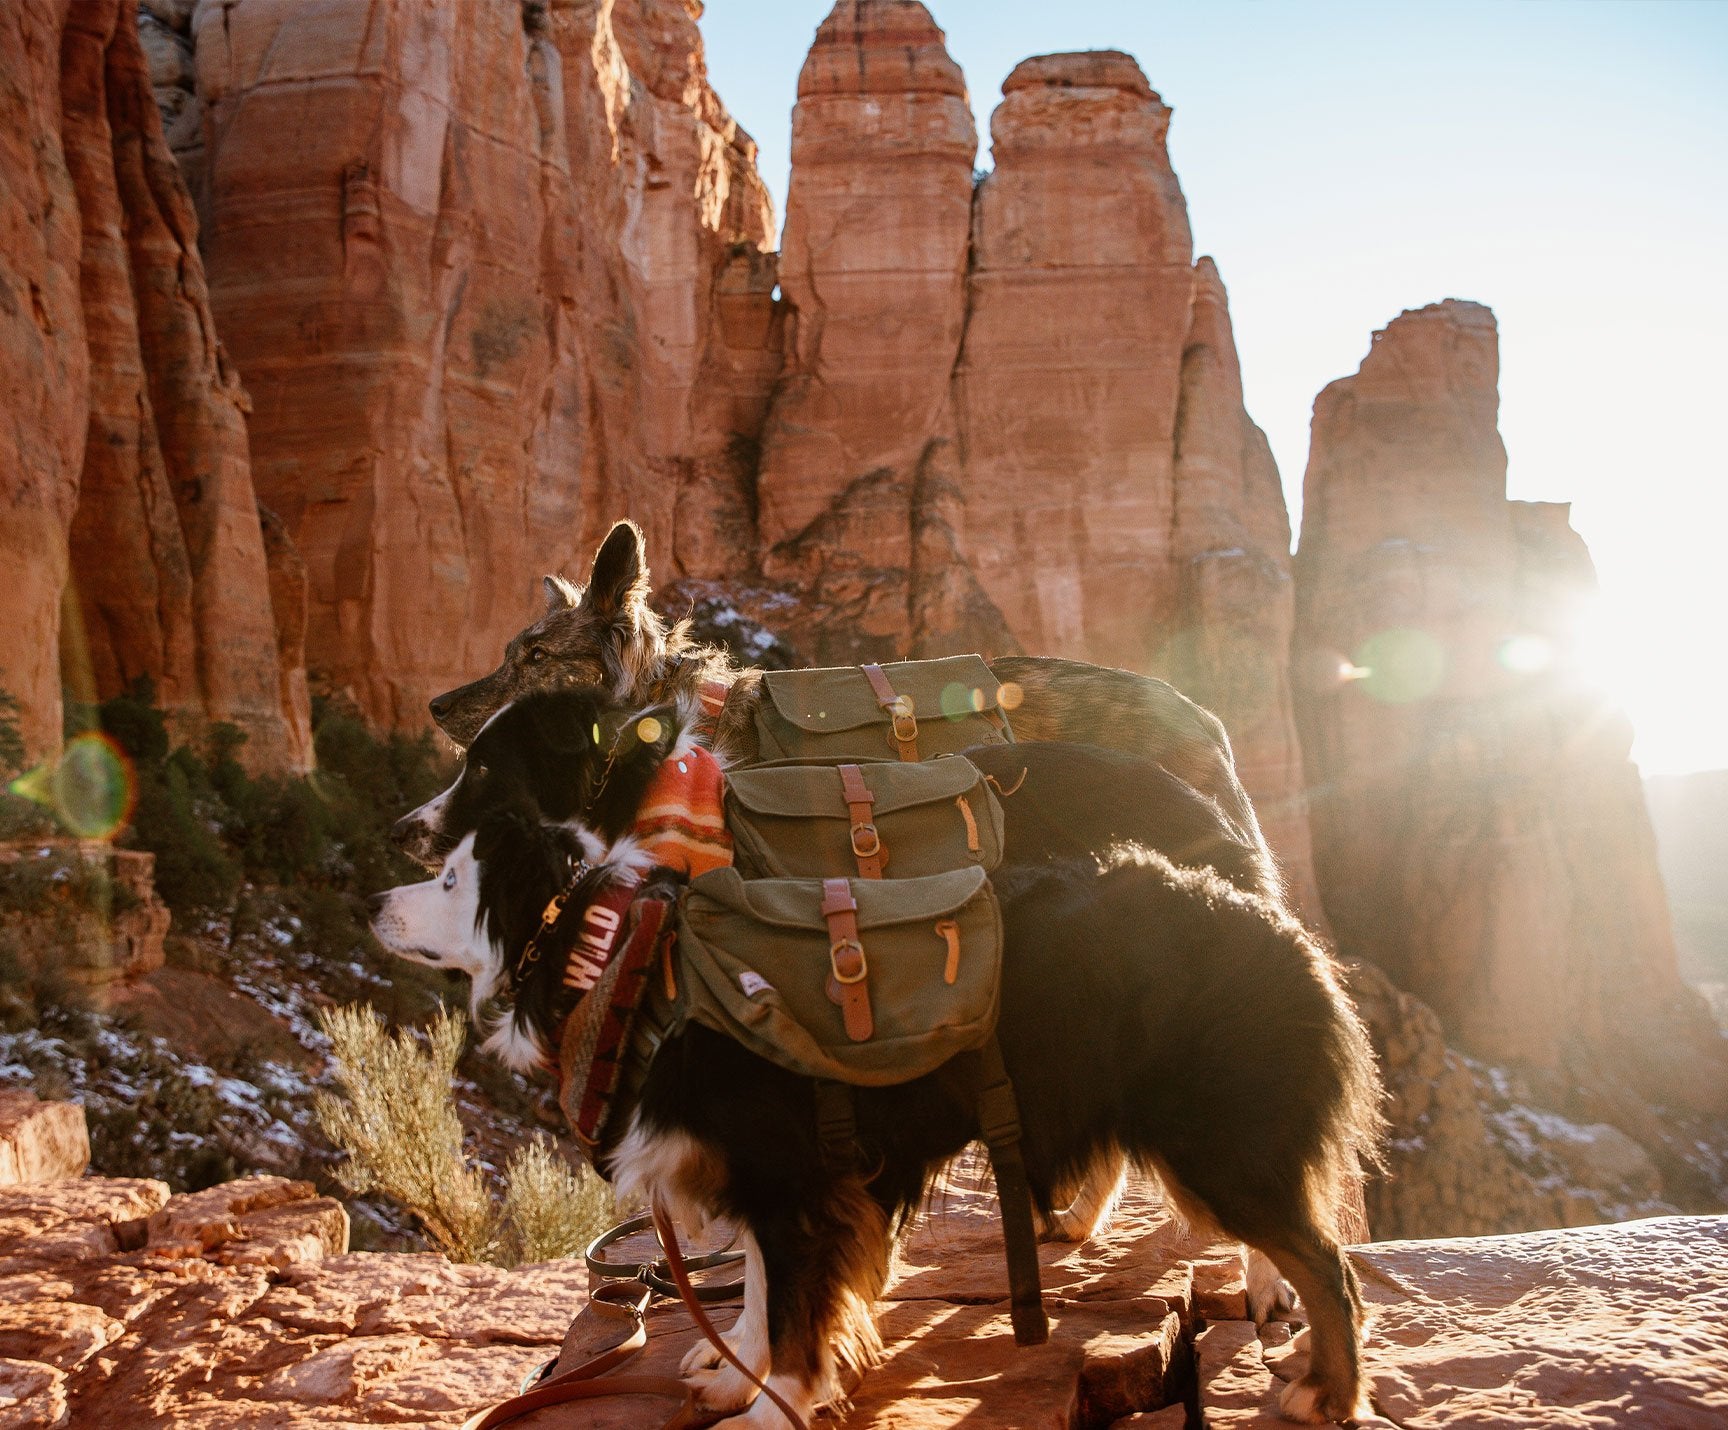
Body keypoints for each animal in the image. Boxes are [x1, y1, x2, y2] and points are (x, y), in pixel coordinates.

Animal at [371, 822, 1382, 1423]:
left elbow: (792, 1322)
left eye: (451, 878)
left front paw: (769, 1407)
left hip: (1218, 1147)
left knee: (1328, 1269)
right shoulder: (783, 1185)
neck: (631, 968)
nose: (376, 901)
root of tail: (1285, 932)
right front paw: (729, 1370)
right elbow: (763, 1295)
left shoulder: (789, 1182)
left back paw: (1324, 1390)